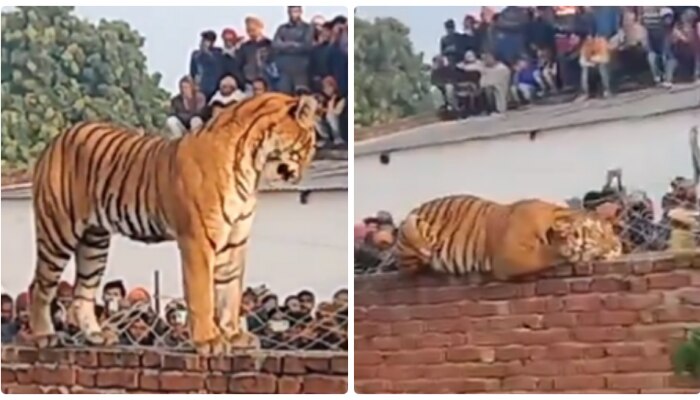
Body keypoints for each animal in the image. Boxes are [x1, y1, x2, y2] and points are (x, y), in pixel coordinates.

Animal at [28, 92, 319, 355]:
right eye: (308, 144)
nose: (301, 175)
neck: (250, 166)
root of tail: (59, 137)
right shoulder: (198, 239)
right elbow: (203, 295)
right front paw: (208, 341)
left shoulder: (234, 240)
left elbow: (230, 292)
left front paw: (235, 336)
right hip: (57, 231)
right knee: (40, 286)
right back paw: (44, 336)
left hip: (94, 241)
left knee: (83, 291)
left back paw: (96, 336)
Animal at [395, 194, 622, 280]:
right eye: (598, 233)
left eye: (612, 232)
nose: (618, 246)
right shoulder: (509, 257)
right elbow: (547, 255)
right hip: (412, 227)